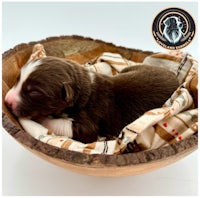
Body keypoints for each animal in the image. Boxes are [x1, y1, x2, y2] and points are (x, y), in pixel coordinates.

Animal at [5, 56, 180, 143]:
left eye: (34, 92)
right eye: (18, 79)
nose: (7, 101)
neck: (84, 89)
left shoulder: (90, 119)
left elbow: (77, 129)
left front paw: (41, 119)